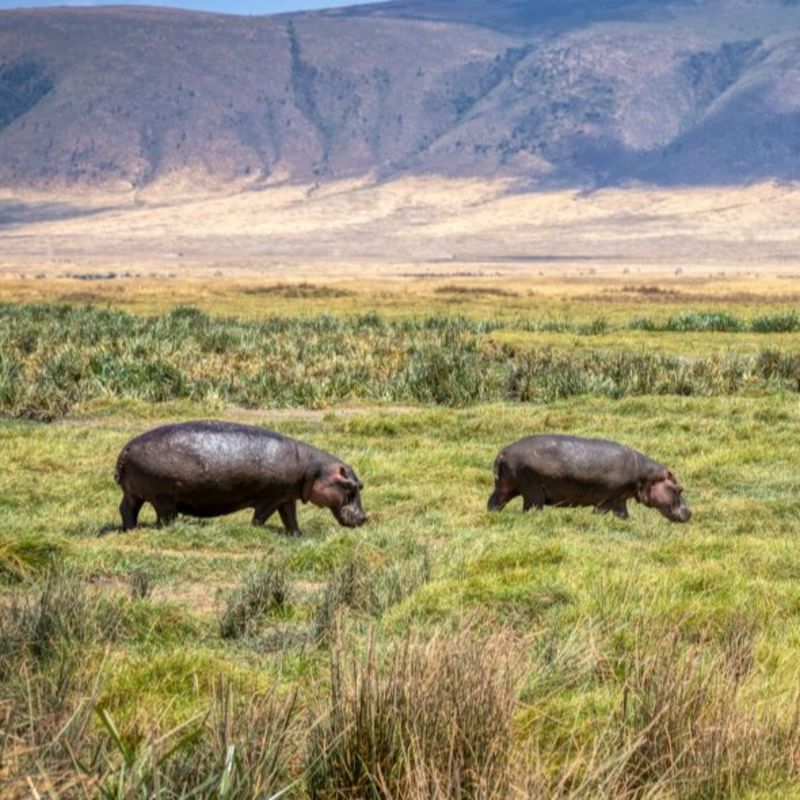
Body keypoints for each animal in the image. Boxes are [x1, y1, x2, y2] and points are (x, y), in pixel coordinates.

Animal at [113, 418, 368, 536]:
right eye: (351, 486)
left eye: (361, 485)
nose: (364, 518)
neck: (314, 469)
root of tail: (126, 448)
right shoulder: (271, 497)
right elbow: (261, 517)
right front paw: (257, 529)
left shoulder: (287, 496)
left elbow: (290, 518)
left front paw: (298, 535)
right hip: (163, 498)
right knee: (164, 517)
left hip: (134, 493)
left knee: (127, 509)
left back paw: (131, 530)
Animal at [484, 434, 692, 520]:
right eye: (679, 489)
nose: (690, 512)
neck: (646, 476)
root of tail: (503, 452)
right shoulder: (609, 498)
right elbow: (600, 511)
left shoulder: (620, 498)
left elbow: (623, 515)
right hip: (532, 491)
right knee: (530, 508)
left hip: (505, 487)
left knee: (493, 502)